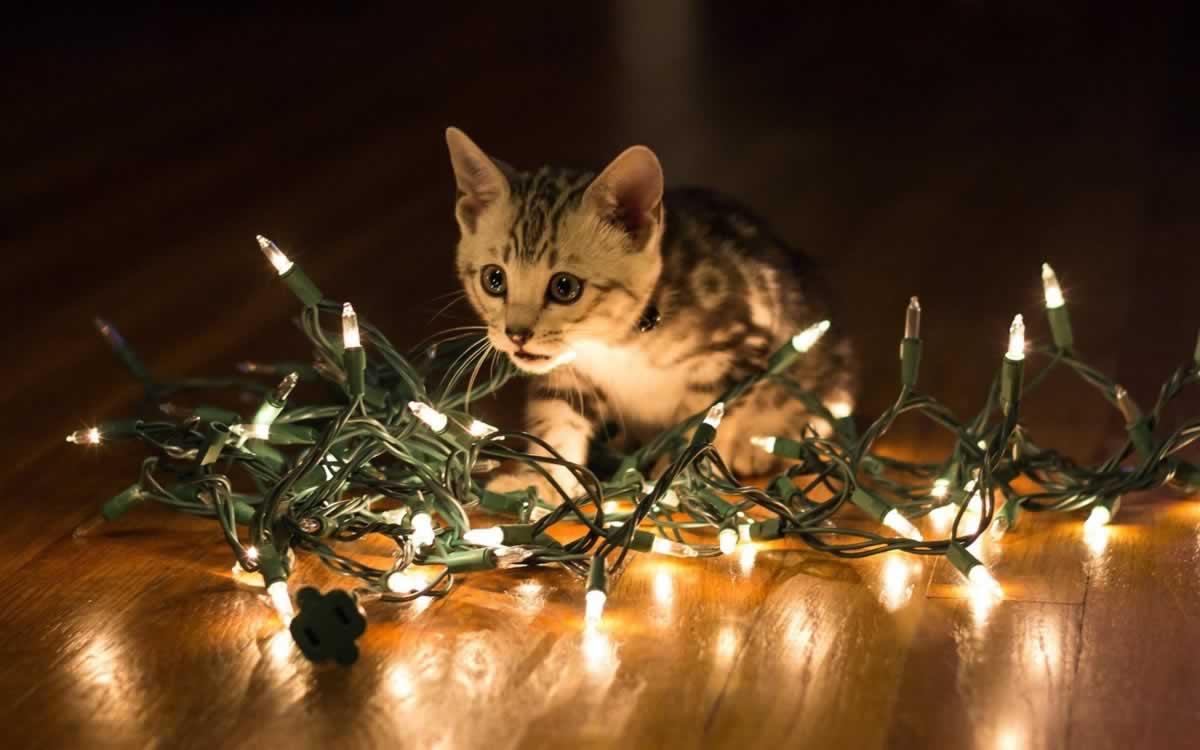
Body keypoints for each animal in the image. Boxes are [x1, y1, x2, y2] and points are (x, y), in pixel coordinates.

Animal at [444, 127, 854, 496]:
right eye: (494, 279)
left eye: (564, 287)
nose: (517, 334)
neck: (617, 344)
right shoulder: (567, 373)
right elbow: (556, 418)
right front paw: (543, 481)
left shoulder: (740, 352)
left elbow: (703, 426)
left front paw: (676, 480)